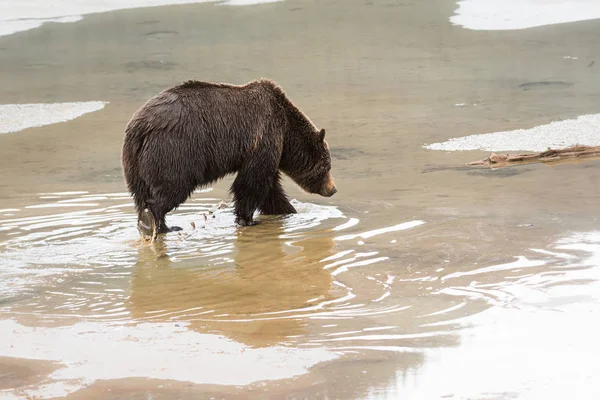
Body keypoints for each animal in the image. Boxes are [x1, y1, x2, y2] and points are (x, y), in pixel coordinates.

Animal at [120, 78, 338, 234]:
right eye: (327, 167)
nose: (333, 189)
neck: (286, 131)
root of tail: (140, 127)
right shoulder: (264, 136)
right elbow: (252, 182)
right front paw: (248, 219)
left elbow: (270, 187)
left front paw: (288, 210)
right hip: (175, 151)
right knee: (172, 188)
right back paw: (162, 225)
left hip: (134, 162)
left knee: (141, 194)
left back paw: (150, 223)